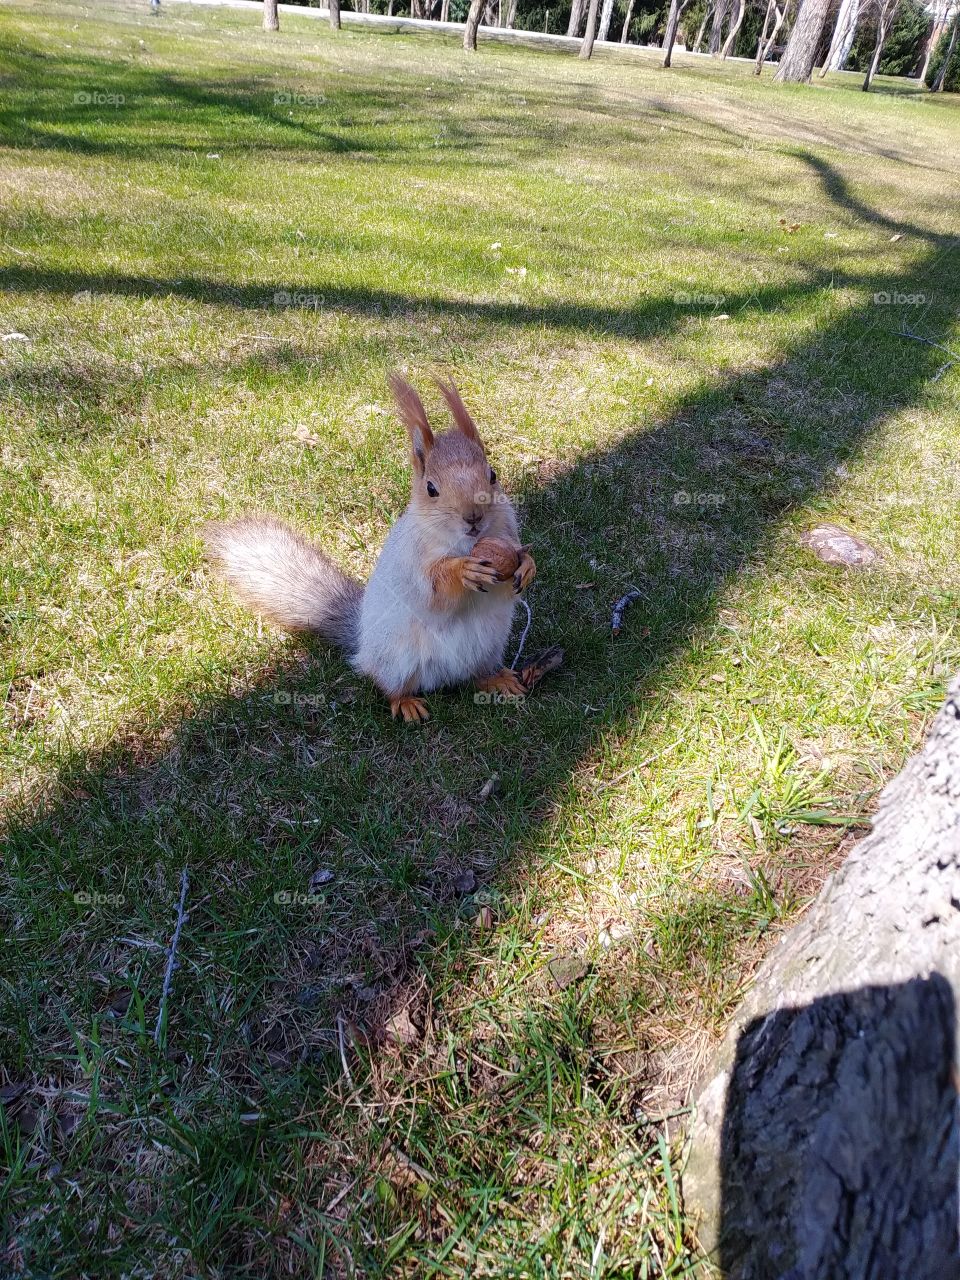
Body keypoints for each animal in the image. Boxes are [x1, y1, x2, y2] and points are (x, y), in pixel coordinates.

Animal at [205, 374, 537, 723]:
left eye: (492, 475)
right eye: (431, 489)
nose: (474, 517)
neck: (468, 542)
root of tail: (363, 643)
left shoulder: (505, 531)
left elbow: (513, 566)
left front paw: (527, 565)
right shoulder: (413, 561)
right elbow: (435, 590)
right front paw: (463, 570)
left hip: (487, 647)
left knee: (475, 675)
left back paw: (497, 679)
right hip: (396, 661)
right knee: (388, 685)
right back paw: (406, 702)